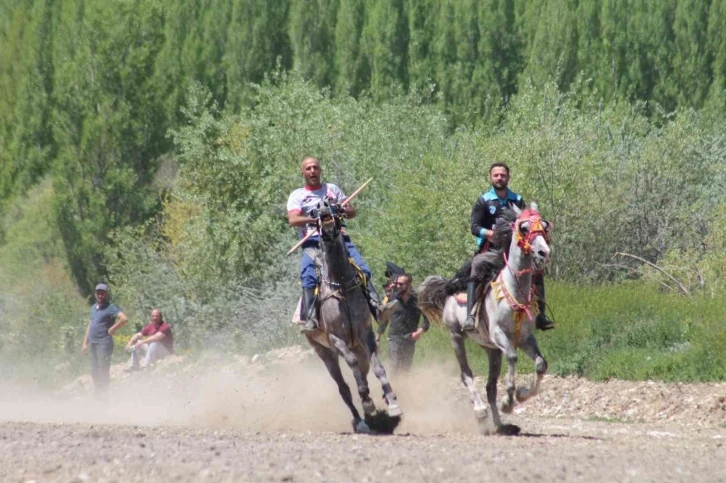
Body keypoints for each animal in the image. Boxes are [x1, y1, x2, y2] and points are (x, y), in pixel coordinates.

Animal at [302, 199, 400, 432]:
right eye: (313, 211)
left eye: (335, 204)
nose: (323, 206)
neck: (341, 285)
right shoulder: (336, 339)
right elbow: (352, 364)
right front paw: (367, 401)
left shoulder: (365, 333)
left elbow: (378, 368)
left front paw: (391, 401)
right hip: (323, 352)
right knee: (343, 387)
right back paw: (360, 419)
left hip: (356, 346)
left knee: (362, 371)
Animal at [418, 204, 556, 434]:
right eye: (524, 227)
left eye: (544, 226)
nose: (543, 252)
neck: (514, 291)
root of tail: (449, 288)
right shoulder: (499, 334)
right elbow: (512, 357)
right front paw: (508, 401)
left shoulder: (525, 338)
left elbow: (540, 364)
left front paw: (521, 395)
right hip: (456, 337)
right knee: (466, 374)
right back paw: (480, 411)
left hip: (491, 350)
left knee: (490, 386)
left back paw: (500, 425)